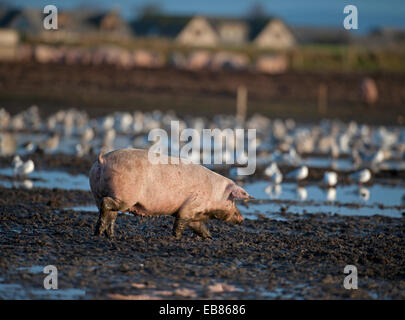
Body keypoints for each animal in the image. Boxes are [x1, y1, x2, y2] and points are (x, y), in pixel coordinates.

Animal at [90, 149, 251, 239]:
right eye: (232, 200)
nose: (242, 218)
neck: (214, 194)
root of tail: (103, 160)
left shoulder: (194, 214)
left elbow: (199, 227)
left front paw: (210, 238)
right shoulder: (191, 206)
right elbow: (180, 223)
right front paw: (176, 238)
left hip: (98, 193)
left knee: (110, 213)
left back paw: (106, 235)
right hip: (125, 196)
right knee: (107, 205)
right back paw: (102, 233)